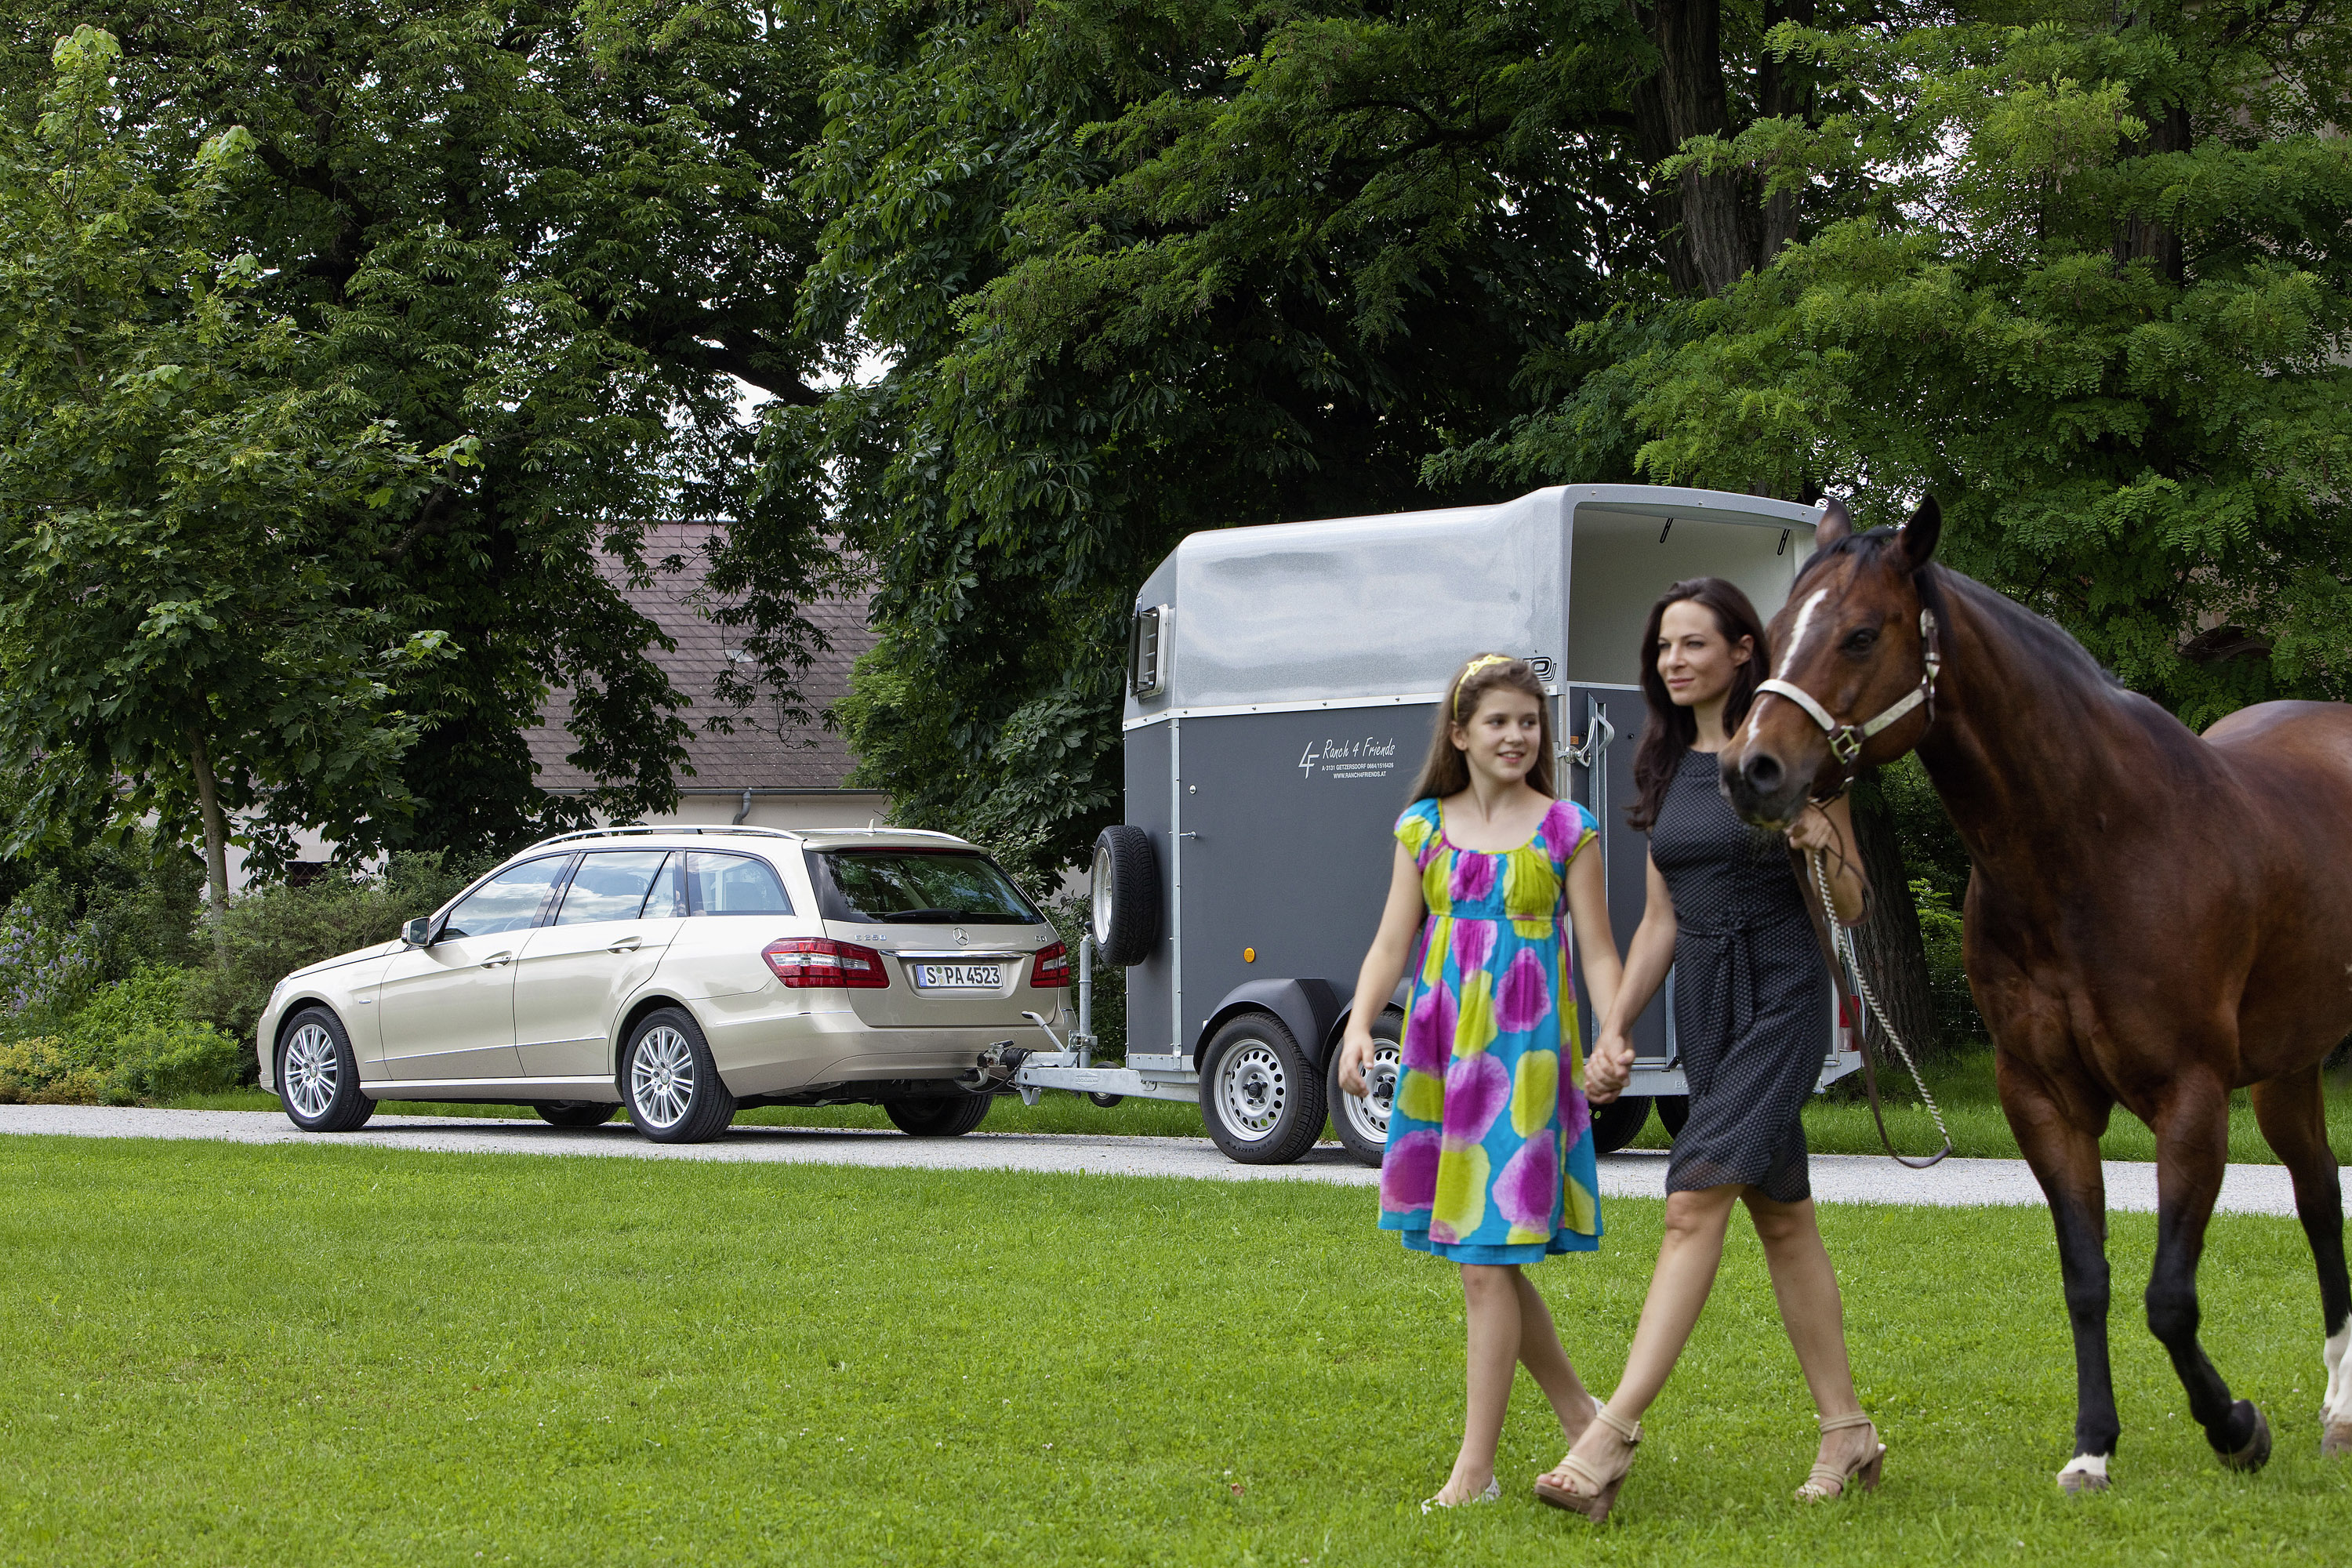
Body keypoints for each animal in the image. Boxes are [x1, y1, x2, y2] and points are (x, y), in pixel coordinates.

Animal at [1722, 495, 2343, 1495]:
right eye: (1775, 634)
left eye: (1861, 634)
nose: (1752, 769)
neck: (2097, 842)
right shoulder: (2042, 1097)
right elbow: (2085, 1276)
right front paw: (2093, 1443)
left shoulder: (2192, 1097)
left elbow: (2169, 1297)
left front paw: (2235, 1426)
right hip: (2290, 1065)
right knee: (2320, 1195)